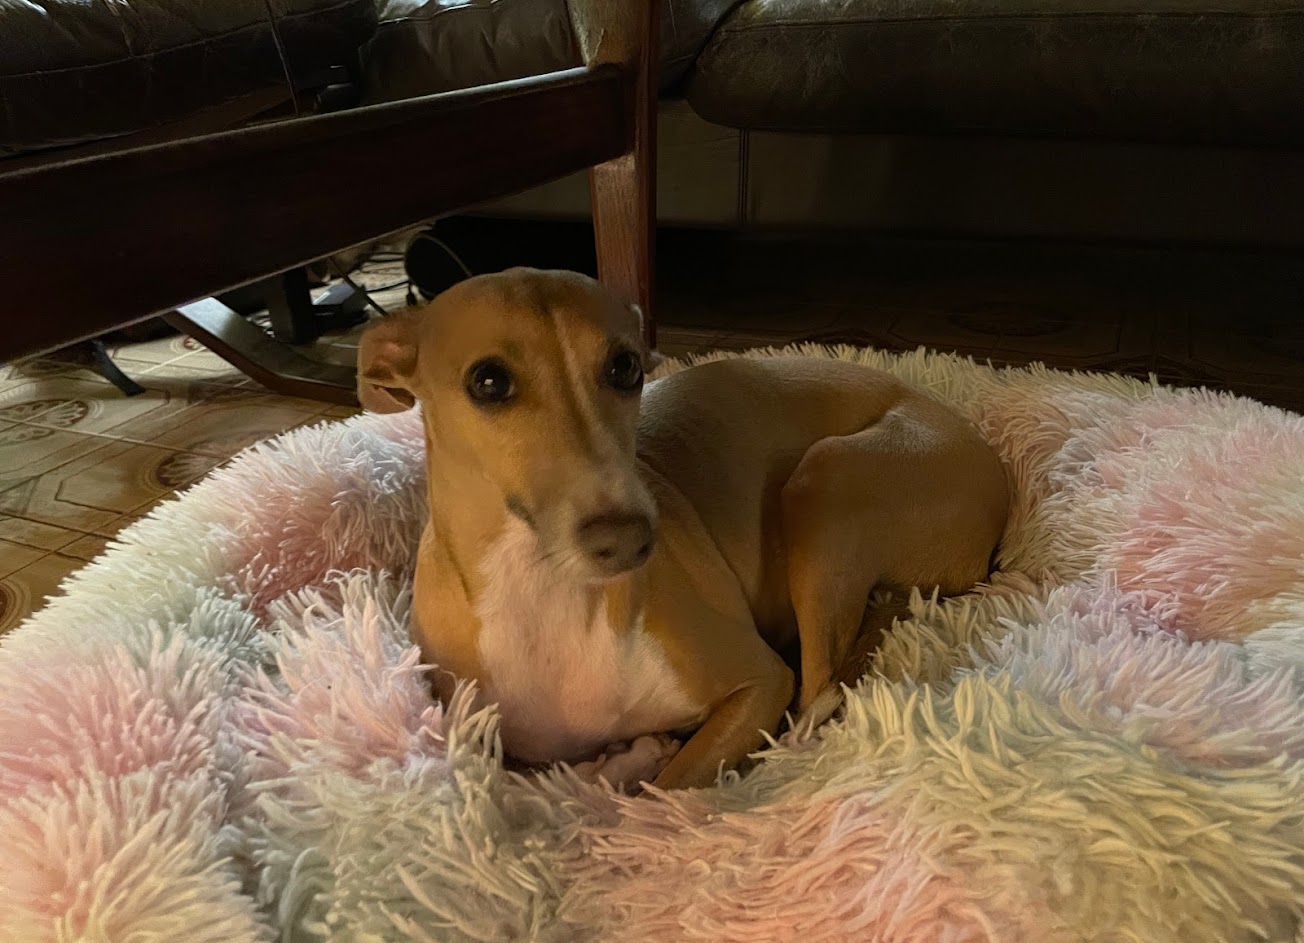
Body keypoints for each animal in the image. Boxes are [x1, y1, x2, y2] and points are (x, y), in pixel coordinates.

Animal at [356, 268, 1009, 790]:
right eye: (488, 381)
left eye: (624, 366)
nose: (628, 538)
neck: (545, 592)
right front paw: (624, 758)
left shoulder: (760, 684)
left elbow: (660, 797)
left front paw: (640, 764)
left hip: (827, 481)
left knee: (815, 694)